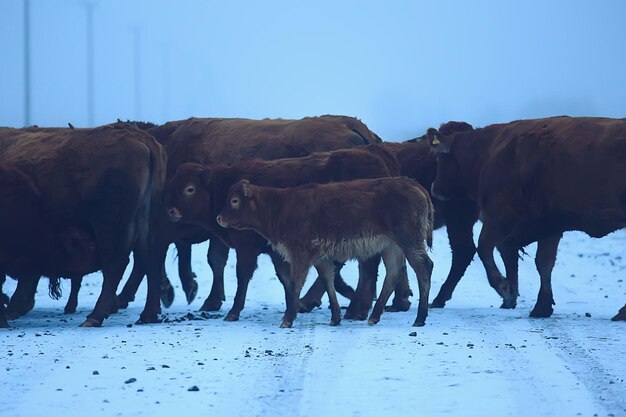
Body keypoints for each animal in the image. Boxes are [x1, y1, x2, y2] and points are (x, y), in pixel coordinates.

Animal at [0, 122, 166, 326]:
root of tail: (142, 139)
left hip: (109, 224)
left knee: (115, 263)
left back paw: (95, 317)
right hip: (143, 221)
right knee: (148, 258)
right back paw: (148, 314)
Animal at [163, 145, 400, 320]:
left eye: (190, 188)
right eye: (174, 184)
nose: (171, 211)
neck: (220, 187)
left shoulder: (246, 247)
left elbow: (244, 275)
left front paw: (233, 312)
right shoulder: (277, 250)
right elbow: (286, 278)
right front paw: (291, 307)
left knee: (366, 267)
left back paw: (356, 310)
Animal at [212, 177, 432, 326]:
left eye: (234, 200)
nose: (219, 218)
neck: (280, 207)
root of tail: (412, 184)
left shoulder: (300, 254)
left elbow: (295, 284)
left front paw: (287, 319)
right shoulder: (321, 257)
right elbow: (328, 282)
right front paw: (335, 318)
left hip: (409, 239)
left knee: (424, 267)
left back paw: (420, 318)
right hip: (391, 245)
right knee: (394, 271)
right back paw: (374, 316)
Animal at [426, 115, 624, 320]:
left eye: (440, 157)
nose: (435, 187)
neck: (489, 151)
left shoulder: (500, 215)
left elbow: (485, 247)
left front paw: (505, 288)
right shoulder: (548, 224)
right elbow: (544, 263)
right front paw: (542, 307)